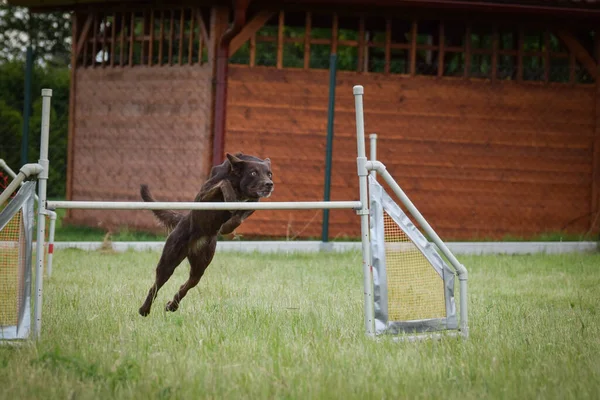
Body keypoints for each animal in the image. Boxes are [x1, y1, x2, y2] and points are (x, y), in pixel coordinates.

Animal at [137, 152, 274, 316]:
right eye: (253, 173)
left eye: (270, 174)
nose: (269, 184)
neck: (238, 184)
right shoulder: (204, 196)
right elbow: (223, 183)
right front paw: (230, 199)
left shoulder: (254, 201)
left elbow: (240, 215)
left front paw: (227, 226)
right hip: (169, 260)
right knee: (156, 285)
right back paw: (144, 309)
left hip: (200, 264)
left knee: (187, 284)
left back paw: (172, 305)